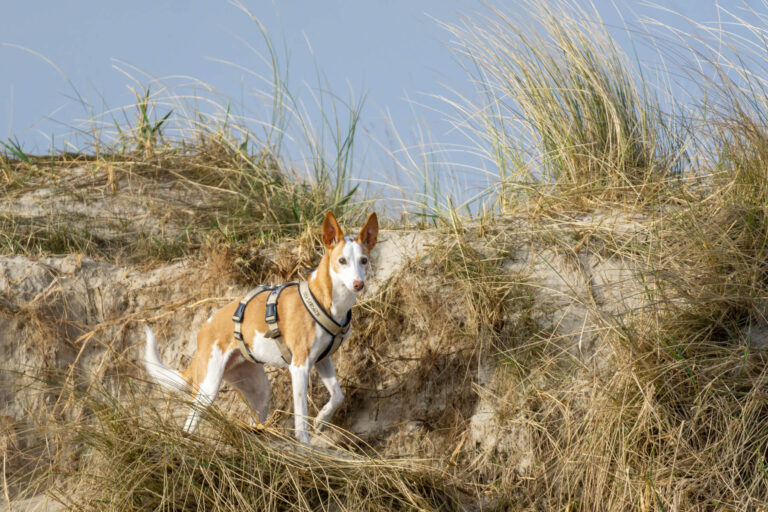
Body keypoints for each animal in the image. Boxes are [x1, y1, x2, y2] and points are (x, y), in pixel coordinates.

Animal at [143, 212, 378, 444]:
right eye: (342, 261)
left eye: (364, 260)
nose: (358, 284)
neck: (325, 300)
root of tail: (203, 330)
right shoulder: (299, 367)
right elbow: (301, 417)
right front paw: (305, 443)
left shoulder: (322, 360)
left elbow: (338, 395)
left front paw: (322, 418)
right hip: (208, 387)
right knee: (190, 423)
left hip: (258, 390)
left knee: (254, 418)